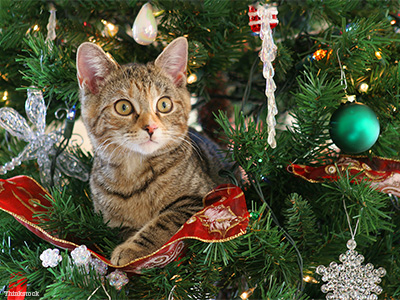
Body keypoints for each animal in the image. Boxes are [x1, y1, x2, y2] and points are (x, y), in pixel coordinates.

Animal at [77, 37, 231, 264]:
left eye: (164, 104)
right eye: (123, 107)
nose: (151, 127)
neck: (134, 172)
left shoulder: (203, 198)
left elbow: (164, 221)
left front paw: (131, 249)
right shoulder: (110, 222)